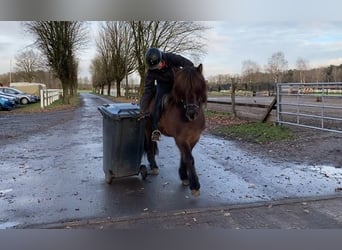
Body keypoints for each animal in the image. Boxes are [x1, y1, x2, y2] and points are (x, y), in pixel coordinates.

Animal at [144, 63, 207, 195]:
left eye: (198, 88)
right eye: (182, 90)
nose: (192, 114)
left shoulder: (193, 138)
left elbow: (185, 156)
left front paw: (184, 176)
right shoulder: (180, 139)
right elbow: (189, 158)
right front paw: (195, 185)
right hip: (148, 129)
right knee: (150, 146)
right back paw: (153, 166)